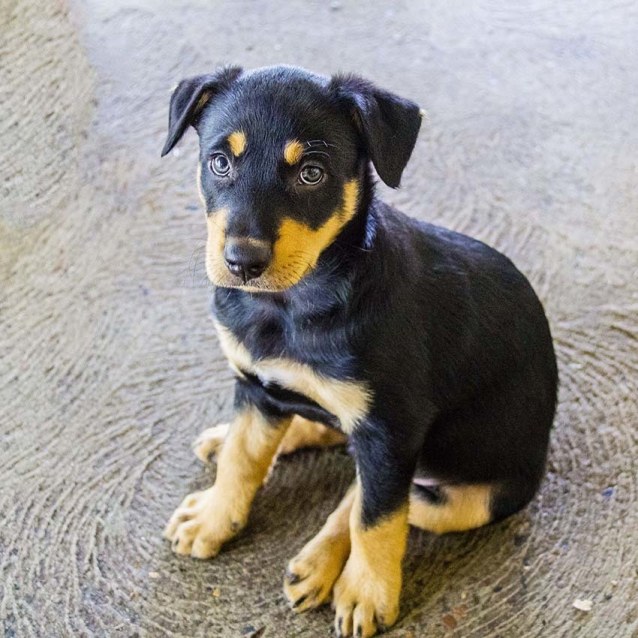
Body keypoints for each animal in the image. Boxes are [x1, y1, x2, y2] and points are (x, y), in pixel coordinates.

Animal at [161, 66, 560, 638]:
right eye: (219, 162)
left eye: (311, 173)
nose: (242, 262)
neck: (292, 306)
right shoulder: (257, 385)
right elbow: (243, 458)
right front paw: (216, 517)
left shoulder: (391, 427)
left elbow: (375, 519)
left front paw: (369, 594)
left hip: (476, 495)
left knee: (377, 497)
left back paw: (321, 565)